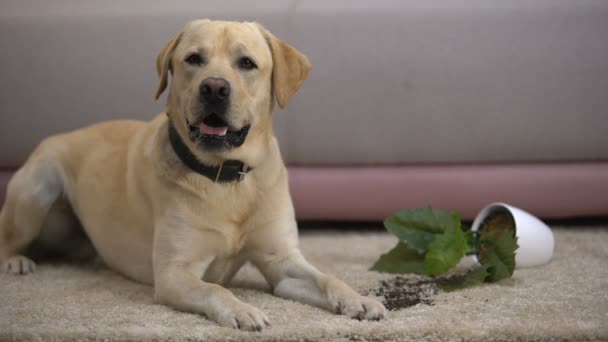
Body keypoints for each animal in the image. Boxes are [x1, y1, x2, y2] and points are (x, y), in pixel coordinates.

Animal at [1, 20, 384, 330]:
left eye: (247, 63)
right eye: (194, 59)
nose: (214, 87)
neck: (226, 179)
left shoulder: (282, 262)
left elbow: (328, 279)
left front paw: (359, 299)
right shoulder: (175, 273)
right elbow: (215, 289)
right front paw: (242, 310)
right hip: (37, 190)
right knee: (8, 239)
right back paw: (17, 262)